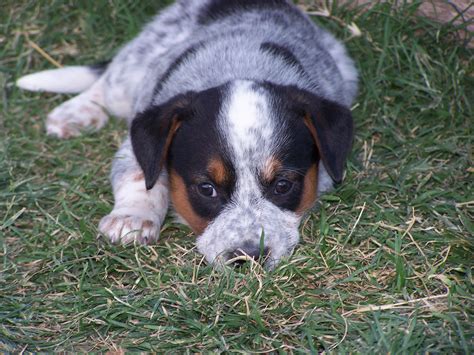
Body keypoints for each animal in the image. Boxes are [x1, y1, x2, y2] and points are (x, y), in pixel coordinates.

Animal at [17, 0, 356, 270]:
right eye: (206, 189)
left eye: (283, 185)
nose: (247, 256)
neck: (239, 66)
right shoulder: (137, 141)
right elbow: (140, 178)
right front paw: (132, 218)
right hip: (133, 66)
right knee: (106, 85)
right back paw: (74, 114)